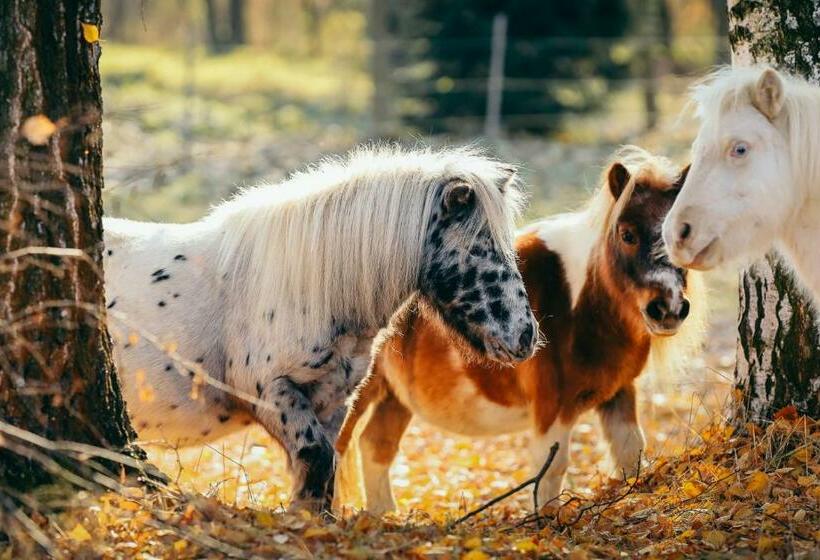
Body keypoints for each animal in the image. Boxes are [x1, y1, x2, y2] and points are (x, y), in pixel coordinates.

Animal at [102, 145, 540, 512]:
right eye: (480, 248)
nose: (525, 335)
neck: (314, 290)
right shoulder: (270, 391)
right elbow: (316, 457)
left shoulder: (333, 400)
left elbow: (324, 464)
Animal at [334, 148, 704, 512]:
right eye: (627, 234)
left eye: (680, 233)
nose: (668, 308)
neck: (577, 301)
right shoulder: (552, 410)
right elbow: (550, 471)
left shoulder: (618, 393)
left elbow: (631, 452)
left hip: (393, 398)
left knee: (375, 446)